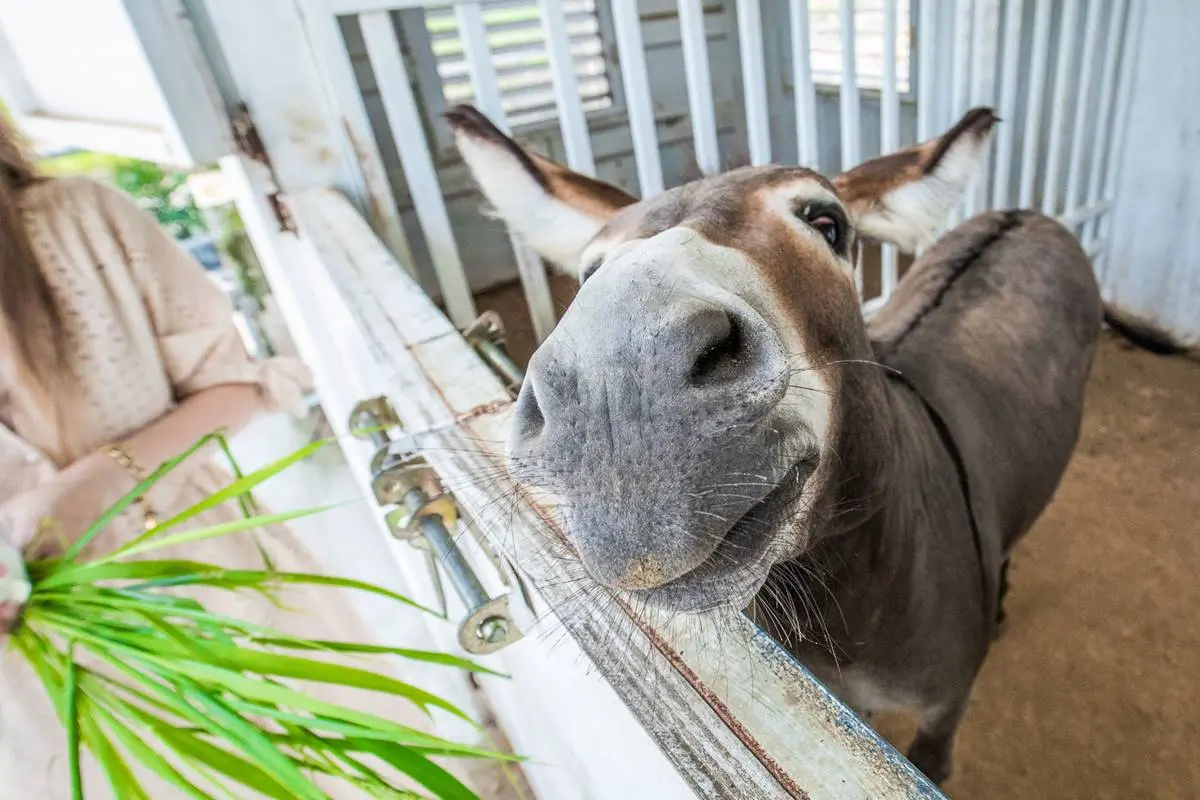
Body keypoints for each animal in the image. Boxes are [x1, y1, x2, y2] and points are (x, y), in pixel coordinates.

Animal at [445, 103, 1102, 785]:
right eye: (587, 271)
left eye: (827, 223)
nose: (617, 388)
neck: (846, 605)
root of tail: (1022, 213)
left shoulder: (943, 718)